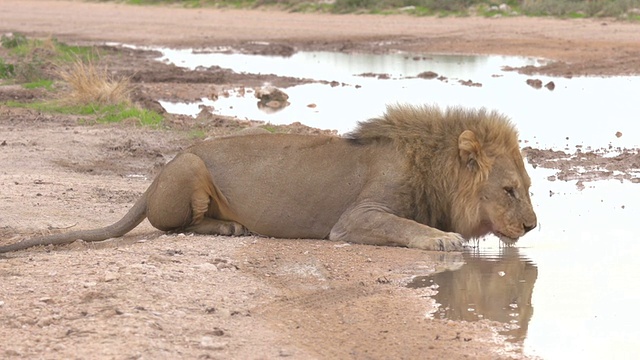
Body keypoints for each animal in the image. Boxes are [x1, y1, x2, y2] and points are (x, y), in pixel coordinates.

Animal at [0, 104, 536, 253]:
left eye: (529, 190)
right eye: (508, 190)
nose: (533, 227)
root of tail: (152, 179)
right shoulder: (355, 218)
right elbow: (405, 226)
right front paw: (444, 239)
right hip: (190, 167)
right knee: (171, 227)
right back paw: (230, 227)